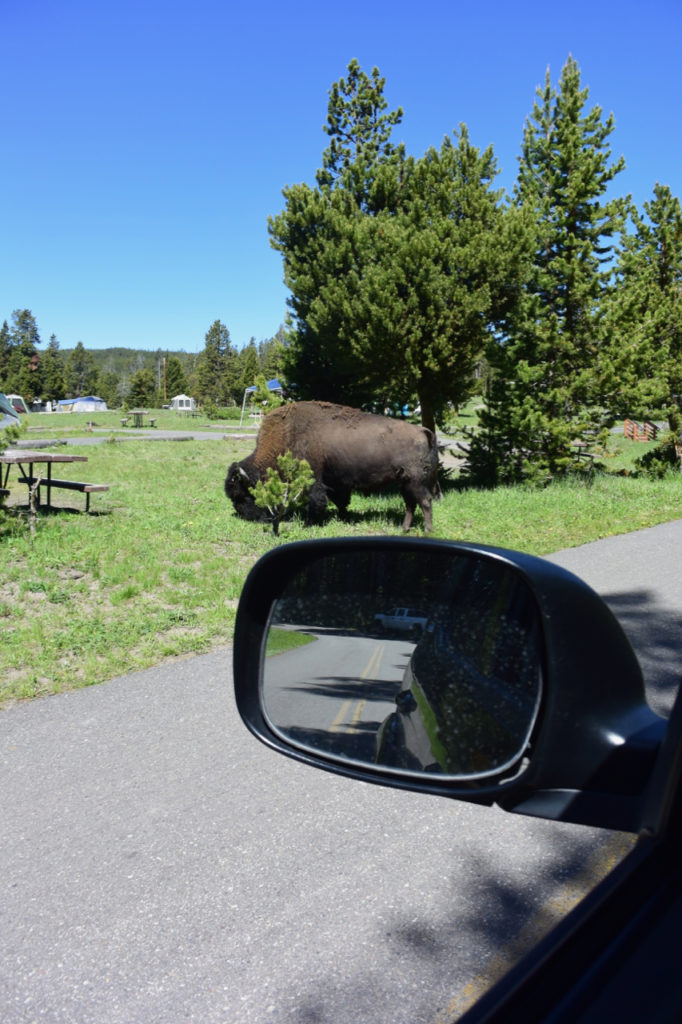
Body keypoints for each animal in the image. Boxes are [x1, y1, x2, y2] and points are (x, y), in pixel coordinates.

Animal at [223, 399, 436, 528]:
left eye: (242, 495)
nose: (248, 517)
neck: (287, 432)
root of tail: (422, 431)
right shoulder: (334, 482)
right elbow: (340, 501)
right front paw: (343, 517)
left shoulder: (313, 479)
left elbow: (317, 500)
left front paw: (309, 523)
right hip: (405, 482)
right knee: (411, 504)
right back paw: (405, 529)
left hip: (415, 481)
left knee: (425, 501)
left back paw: (426, 530)